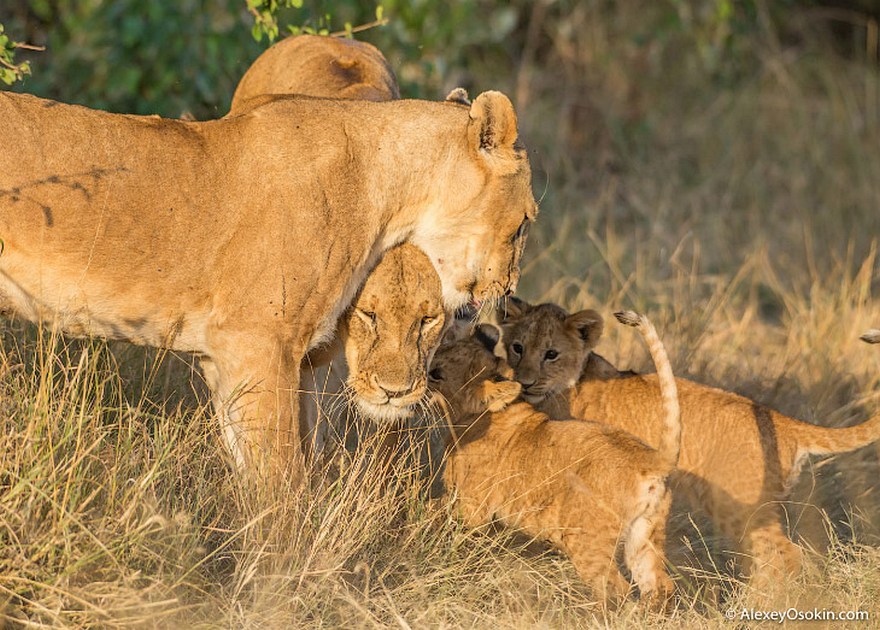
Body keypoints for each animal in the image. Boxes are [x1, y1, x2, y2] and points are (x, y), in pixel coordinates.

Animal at [0, 86, 536, 486]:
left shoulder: (227, 356)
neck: (389, 192)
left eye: (427, 321)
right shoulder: (256, 341)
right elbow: (283, 483)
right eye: (526, 222)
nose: (508, 291)